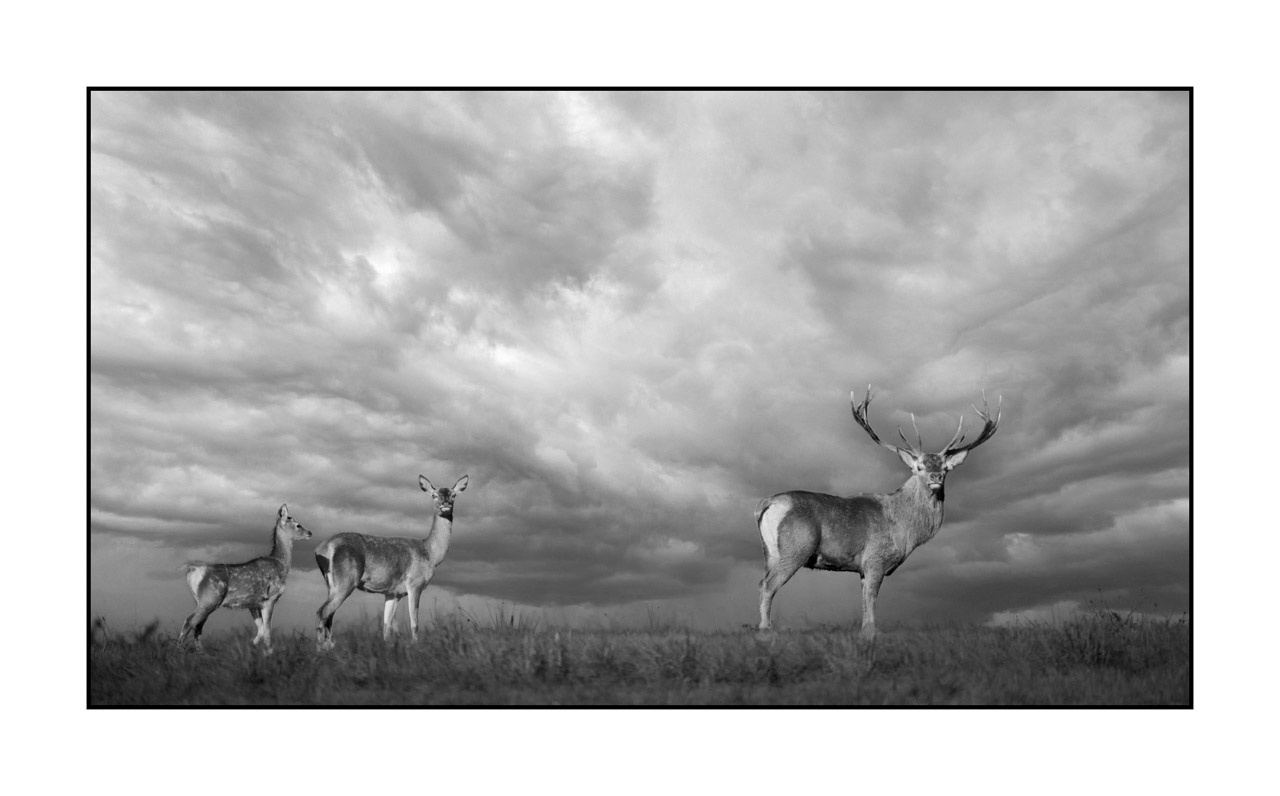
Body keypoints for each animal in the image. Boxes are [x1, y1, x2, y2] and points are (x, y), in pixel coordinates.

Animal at [178, 503, 312, 653]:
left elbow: (260, 629)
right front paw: (269, 652)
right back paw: (180, 649)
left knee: (198, 625)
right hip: (210, 597)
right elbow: (267, 630)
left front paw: (250, 646)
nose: (310, 533)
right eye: (298, 525)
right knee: (189, 621)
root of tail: (193, 570)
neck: (280, 564)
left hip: (201, 600)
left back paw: (201, 652)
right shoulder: (270, 599)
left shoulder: (253, 603)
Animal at [314, 474, 469, 650]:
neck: (431, 554)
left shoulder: (393, 593)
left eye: (453, 495)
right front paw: (416, 646)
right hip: (345, 581)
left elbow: (386, 626)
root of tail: (322, 549)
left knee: (329, 616)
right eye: (434, 495)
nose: (446, 504)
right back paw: (321, 649)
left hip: (331, 585)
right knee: (323, 612)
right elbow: (414, 623)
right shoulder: (415, 584)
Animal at [755, 386, 1000, 640]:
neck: (904, 530)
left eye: (945, 467)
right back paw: (765, 632)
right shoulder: (875, 558)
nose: (936, 477)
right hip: (797, 547)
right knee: (768, 586)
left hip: (770, 553)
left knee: (761, 582)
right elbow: (871, 604)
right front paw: (871, 634)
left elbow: (864, 604)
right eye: (919, 467)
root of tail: (768, 503)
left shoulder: (862, 568)